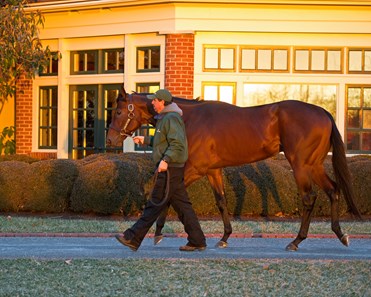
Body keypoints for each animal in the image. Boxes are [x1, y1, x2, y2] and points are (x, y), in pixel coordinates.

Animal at [106, 87, 362, 250]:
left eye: (118, 111)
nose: (110, 140)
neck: (189, 118)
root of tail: (324, 113)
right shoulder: (212, 170)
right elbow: (221, 201)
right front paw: (224, 237)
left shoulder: (195, 169)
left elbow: (167, 197)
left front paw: (155, 234)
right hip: (314, 164)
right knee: (333, 190)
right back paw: (341, 234)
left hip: (300, 165)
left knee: (309, 198)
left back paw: (296, 241)